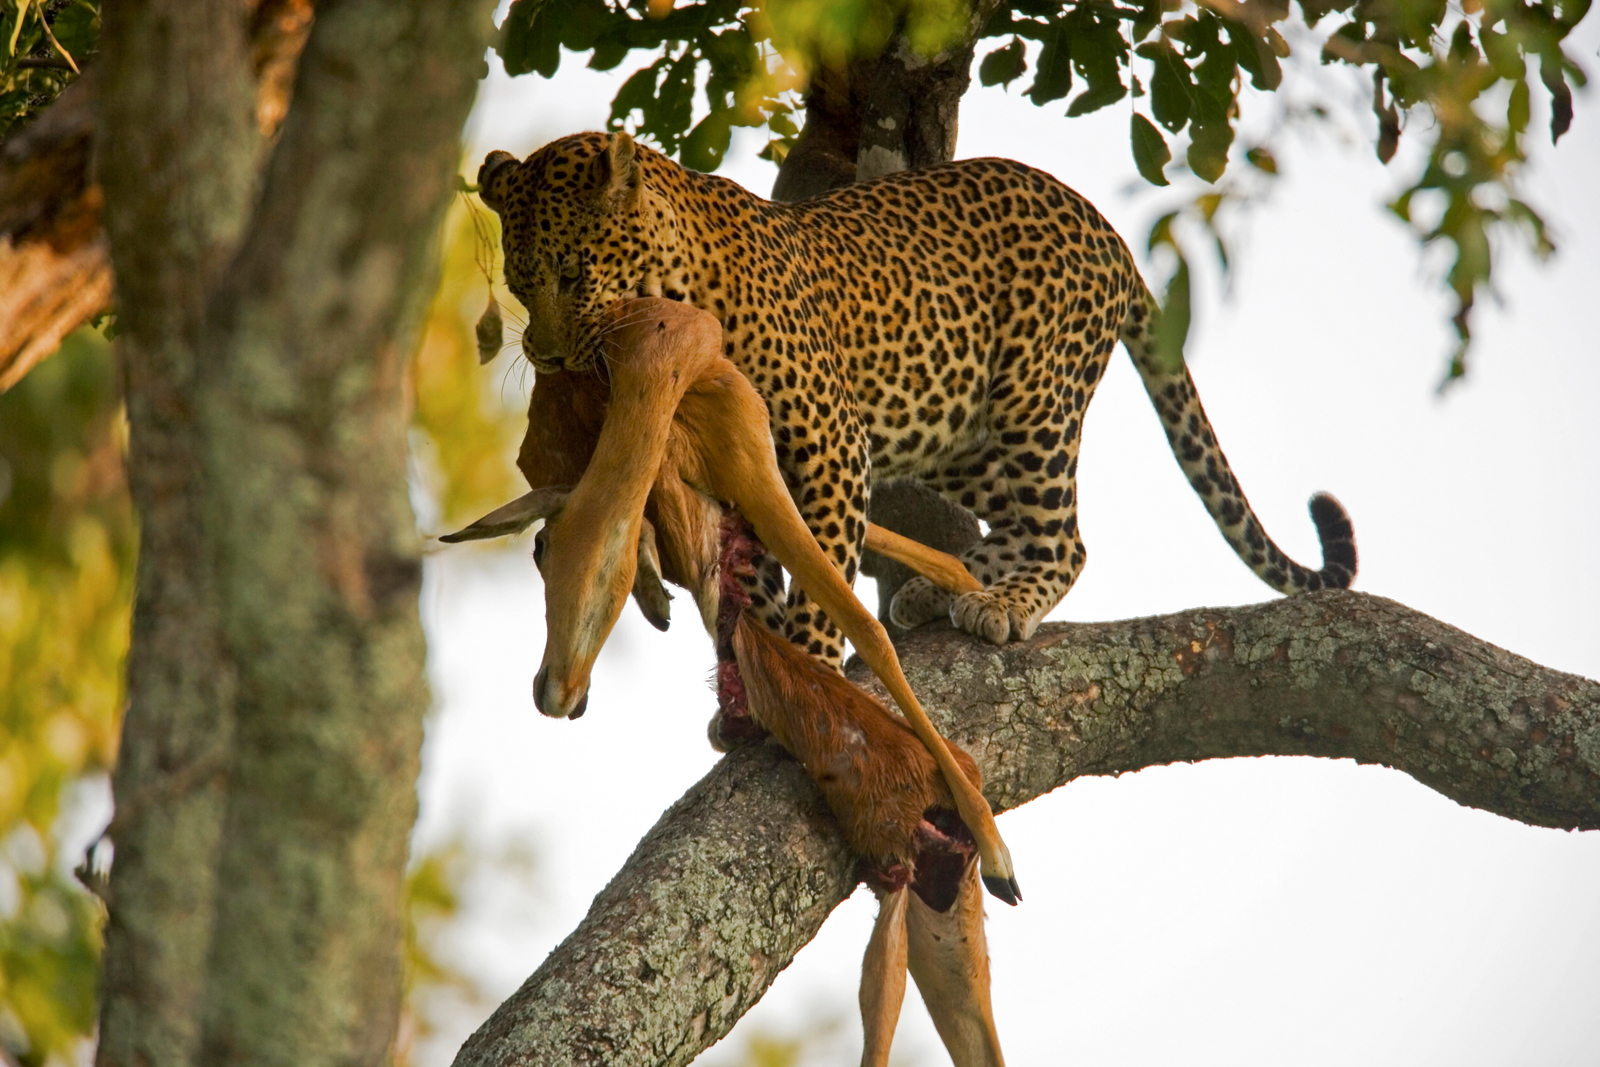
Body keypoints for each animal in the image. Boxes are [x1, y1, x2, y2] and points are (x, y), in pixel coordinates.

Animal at [476, 130, 1356, 668]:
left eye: (572, 274)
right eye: (518, 281)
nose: (546, 355)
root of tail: (1109, 232)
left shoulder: (829, 444)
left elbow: (822, 572)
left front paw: (809, 662)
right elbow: (748, 578)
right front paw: (763, 671)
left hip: (1032, 397)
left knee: (1065, 536)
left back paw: (1006, 601)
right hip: (952, 429)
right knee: (1011, 517)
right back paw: (950, 585)